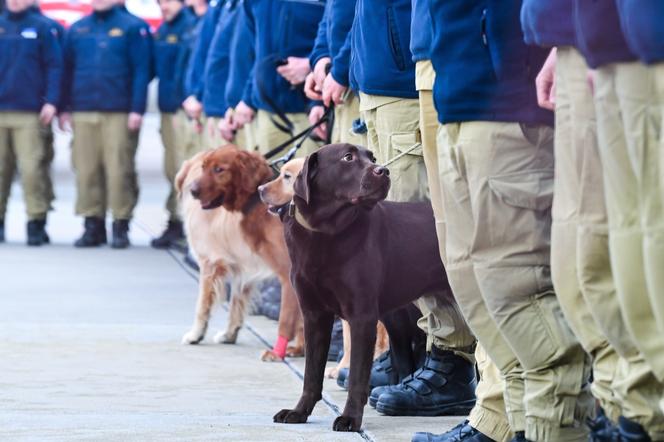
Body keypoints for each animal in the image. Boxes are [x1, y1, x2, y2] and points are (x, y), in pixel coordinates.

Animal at [175, 147, 302, 360]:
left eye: (219, 169)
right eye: (204, 167)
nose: (193, 191)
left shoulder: (209, 264)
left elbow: (202, 306)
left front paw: (195, 335)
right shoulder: (242, 269)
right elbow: (236, 305)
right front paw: (229, 334)